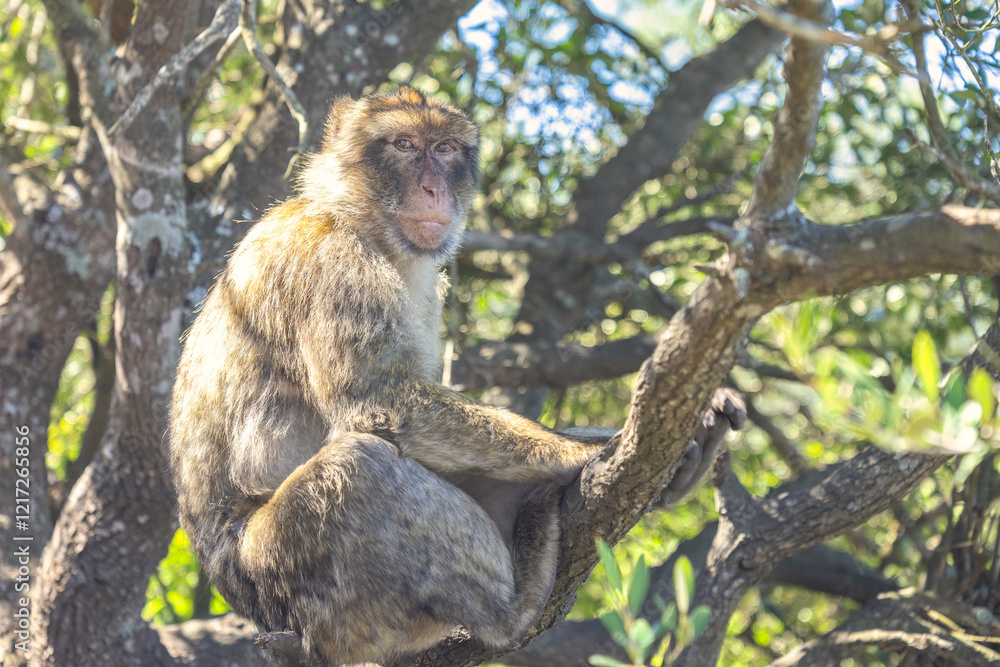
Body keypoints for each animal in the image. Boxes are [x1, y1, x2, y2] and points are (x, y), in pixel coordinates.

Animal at [168, 86, 744, 666]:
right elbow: (378, 397)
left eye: (444, 148)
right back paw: (511, 610)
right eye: (403, 145)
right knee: (360, 466)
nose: (433, 187)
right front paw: (576, 451)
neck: (364, 224)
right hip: (294, 583)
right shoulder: (334, 259)